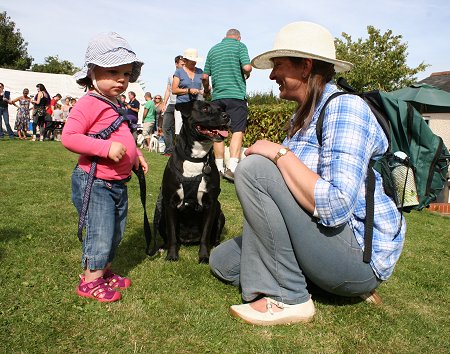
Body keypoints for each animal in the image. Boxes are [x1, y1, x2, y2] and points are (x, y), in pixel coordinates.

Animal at [154, 99, 230, 262]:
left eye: (220, 109)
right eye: (205, 108)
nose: (226, 116)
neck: (195, 158)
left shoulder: (211, 204)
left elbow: (205, 236)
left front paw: (204, 256)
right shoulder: (170, 203)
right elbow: (172, 234)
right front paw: (172, 255)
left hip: (220, 214)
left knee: (214, 236)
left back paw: (216, 245)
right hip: (162, 216)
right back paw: (163, 247)